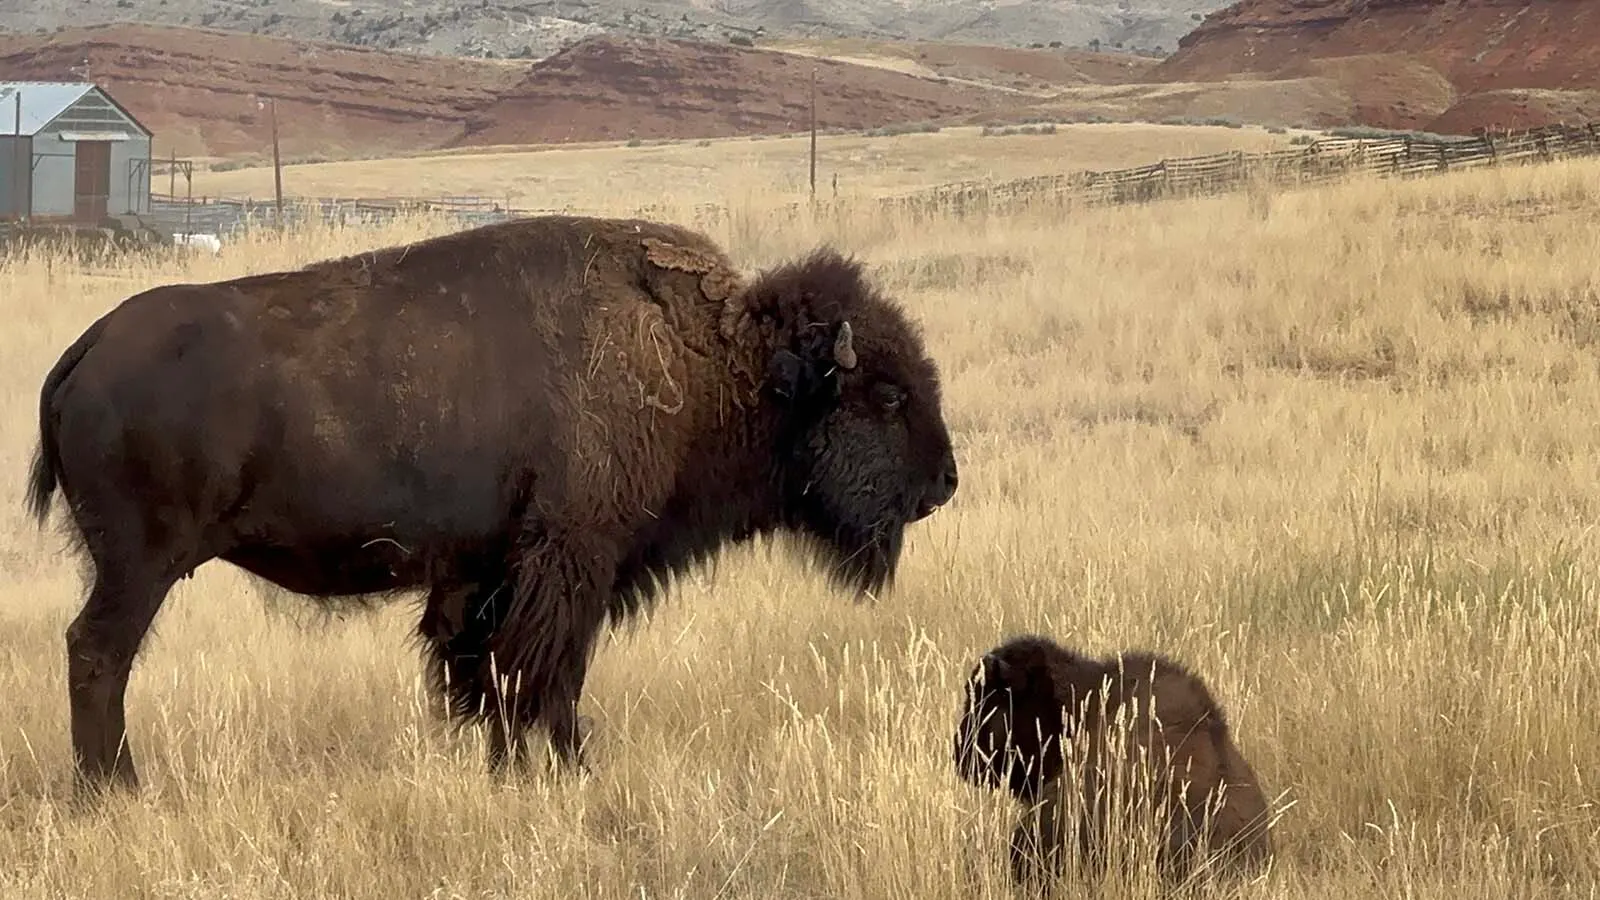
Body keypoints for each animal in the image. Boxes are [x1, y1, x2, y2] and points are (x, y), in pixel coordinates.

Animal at [24, 213, 960, 793]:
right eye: (885, 395)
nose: (945, 482)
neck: (714, 363)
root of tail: (86, 348)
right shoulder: (573, 559)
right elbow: (546, 672)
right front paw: (565, 769)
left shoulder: (485, 575)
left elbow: (482, 673)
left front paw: (504, 766)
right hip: (140, 565)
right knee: (96, 654)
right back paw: (113, 789)